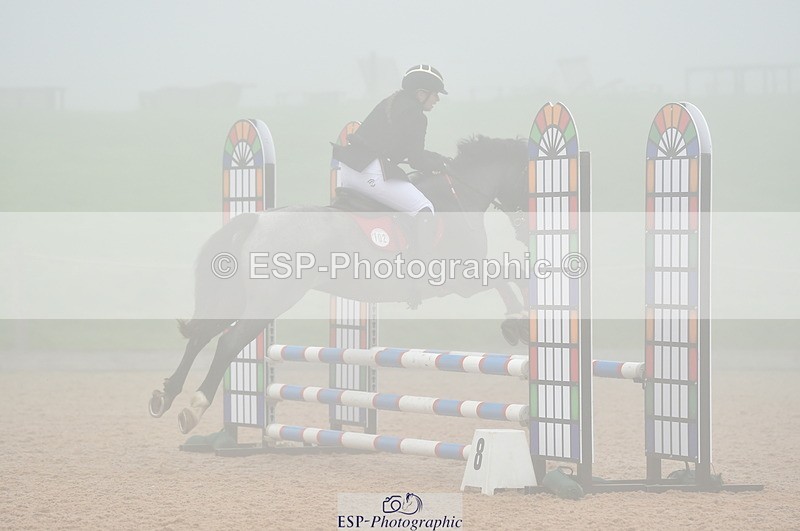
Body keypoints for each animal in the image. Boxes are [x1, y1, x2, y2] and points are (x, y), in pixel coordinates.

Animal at [149, 135, 530, 434]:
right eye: (528, 180)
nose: (525, 227)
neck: (457, 197)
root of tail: (256, 219)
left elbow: (509, 275)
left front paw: (520, 321)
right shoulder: (459, 277)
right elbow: (506, 275)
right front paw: (517, 323)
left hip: (238, 297)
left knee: (201, 335)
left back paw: (165, 396)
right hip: (269, 301)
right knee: (228, 342)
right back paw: (194, 408)